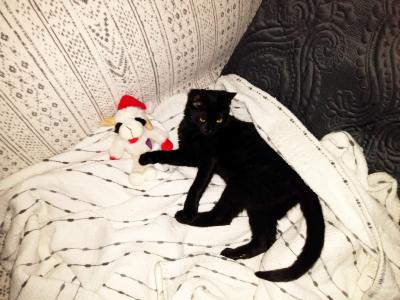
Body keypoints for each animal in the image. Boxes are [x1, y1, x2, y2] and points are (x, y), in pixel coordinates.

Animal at [138, 89, 324, 282]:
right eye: (203, 118)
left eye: (219, 120)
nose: (211, 130)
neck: (195, 131)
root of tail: (302, 182)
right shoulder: (188, 155)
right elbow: (166, 155)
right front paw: (146, 157)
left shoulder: (208, 161)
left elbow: (196, 187)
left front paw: (189, 211)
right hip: (261, 207)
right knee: (264, 239)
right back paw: (234, 253)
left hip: (240, 186)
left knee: (222, 217)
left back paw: (186, 219)